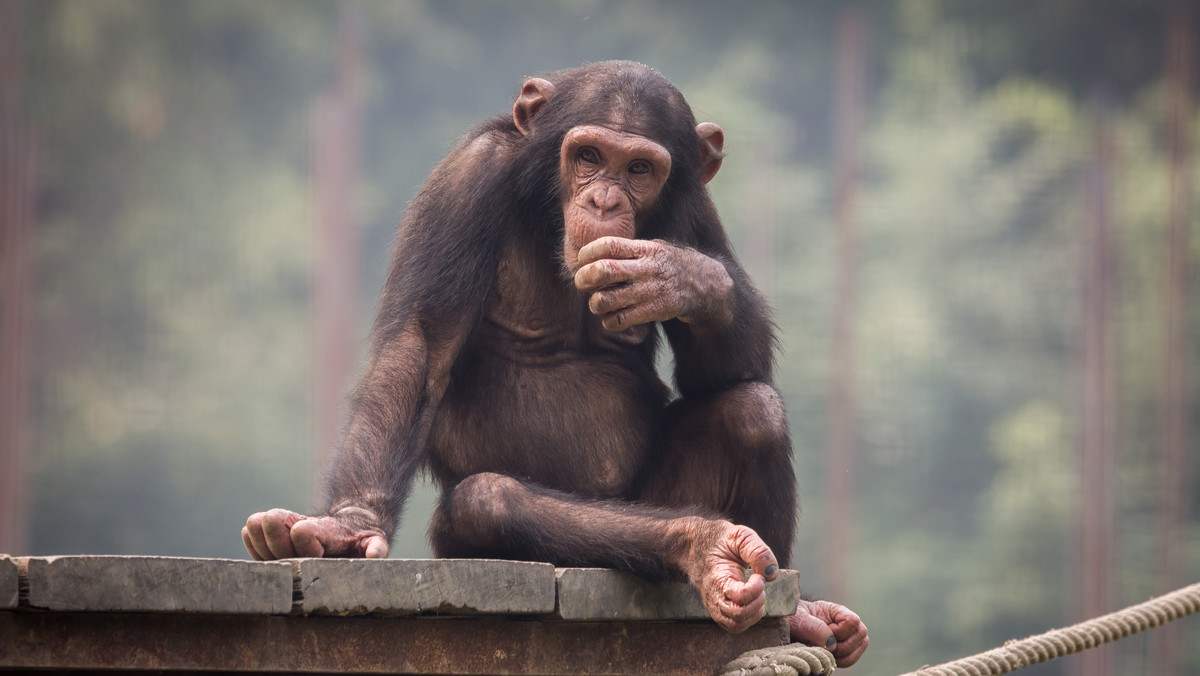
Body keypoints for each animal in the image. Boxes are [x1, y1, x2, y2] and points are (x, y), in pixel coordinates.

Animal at [241, 59, 864, 667]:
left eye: (640, 168)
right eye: (588, 156)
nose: (605, 201)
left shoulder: (695, 206)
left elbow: (729, 373)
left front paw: (681, 277)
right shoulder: (468, 177)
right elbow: (419, 345)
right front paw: (347, 527)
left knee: (752, 411)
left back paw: (799, 612)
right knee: (487, 500)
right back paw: (702, 544)